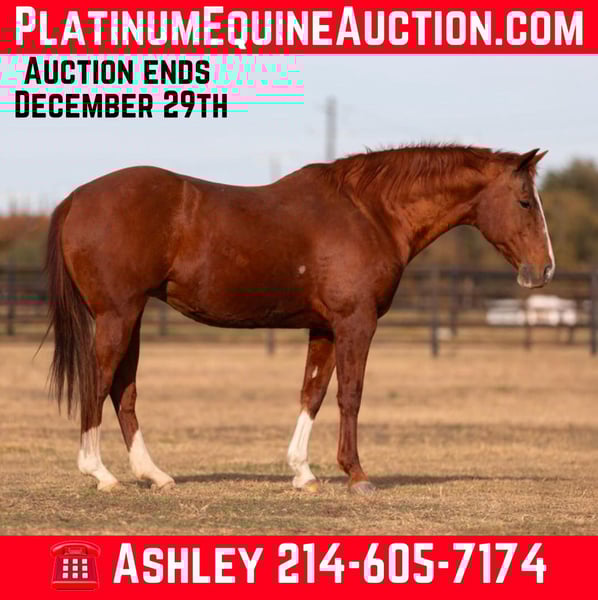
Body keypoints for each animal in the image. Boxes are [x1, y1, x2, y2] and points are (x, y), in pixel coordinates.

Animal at [44, 144, 554, 494]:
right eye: (525, 202)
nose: (545, 269)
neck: (370, 212)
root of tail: (75, 198)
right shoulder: (355, 323)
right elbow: (350, 395)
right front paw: (357, 475)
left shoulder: (325, 327)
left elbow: (313, 392)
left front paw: (303, 472)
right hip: (118, 315)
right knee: (98, 383)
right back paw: (100, 473)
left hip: (130, 317)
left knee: (123, 392)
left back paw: (154, 474)